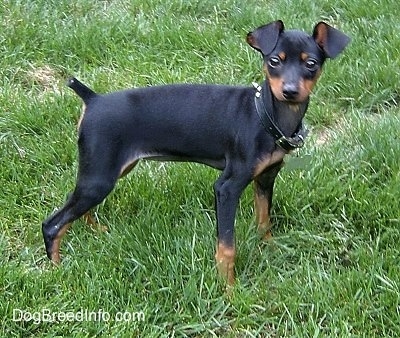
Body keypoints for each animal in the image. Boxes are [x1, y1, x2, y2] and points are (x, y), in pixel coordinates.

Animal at [42, 20, 350, 286]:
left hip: (103, 172)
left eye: (311, 64)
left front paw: (270, 248)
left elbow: (264, 221)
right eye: (274, 61)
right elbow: (227, 247)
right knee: (52, 224)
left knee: (76, 207)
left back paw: (96, 232)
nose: (290, 91)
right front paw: (229, 290)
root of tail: (93, 99)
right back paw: (57, 270)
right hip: (99, 177)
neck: (266, 114)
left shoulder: (265, 179)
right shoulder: (227, 188)